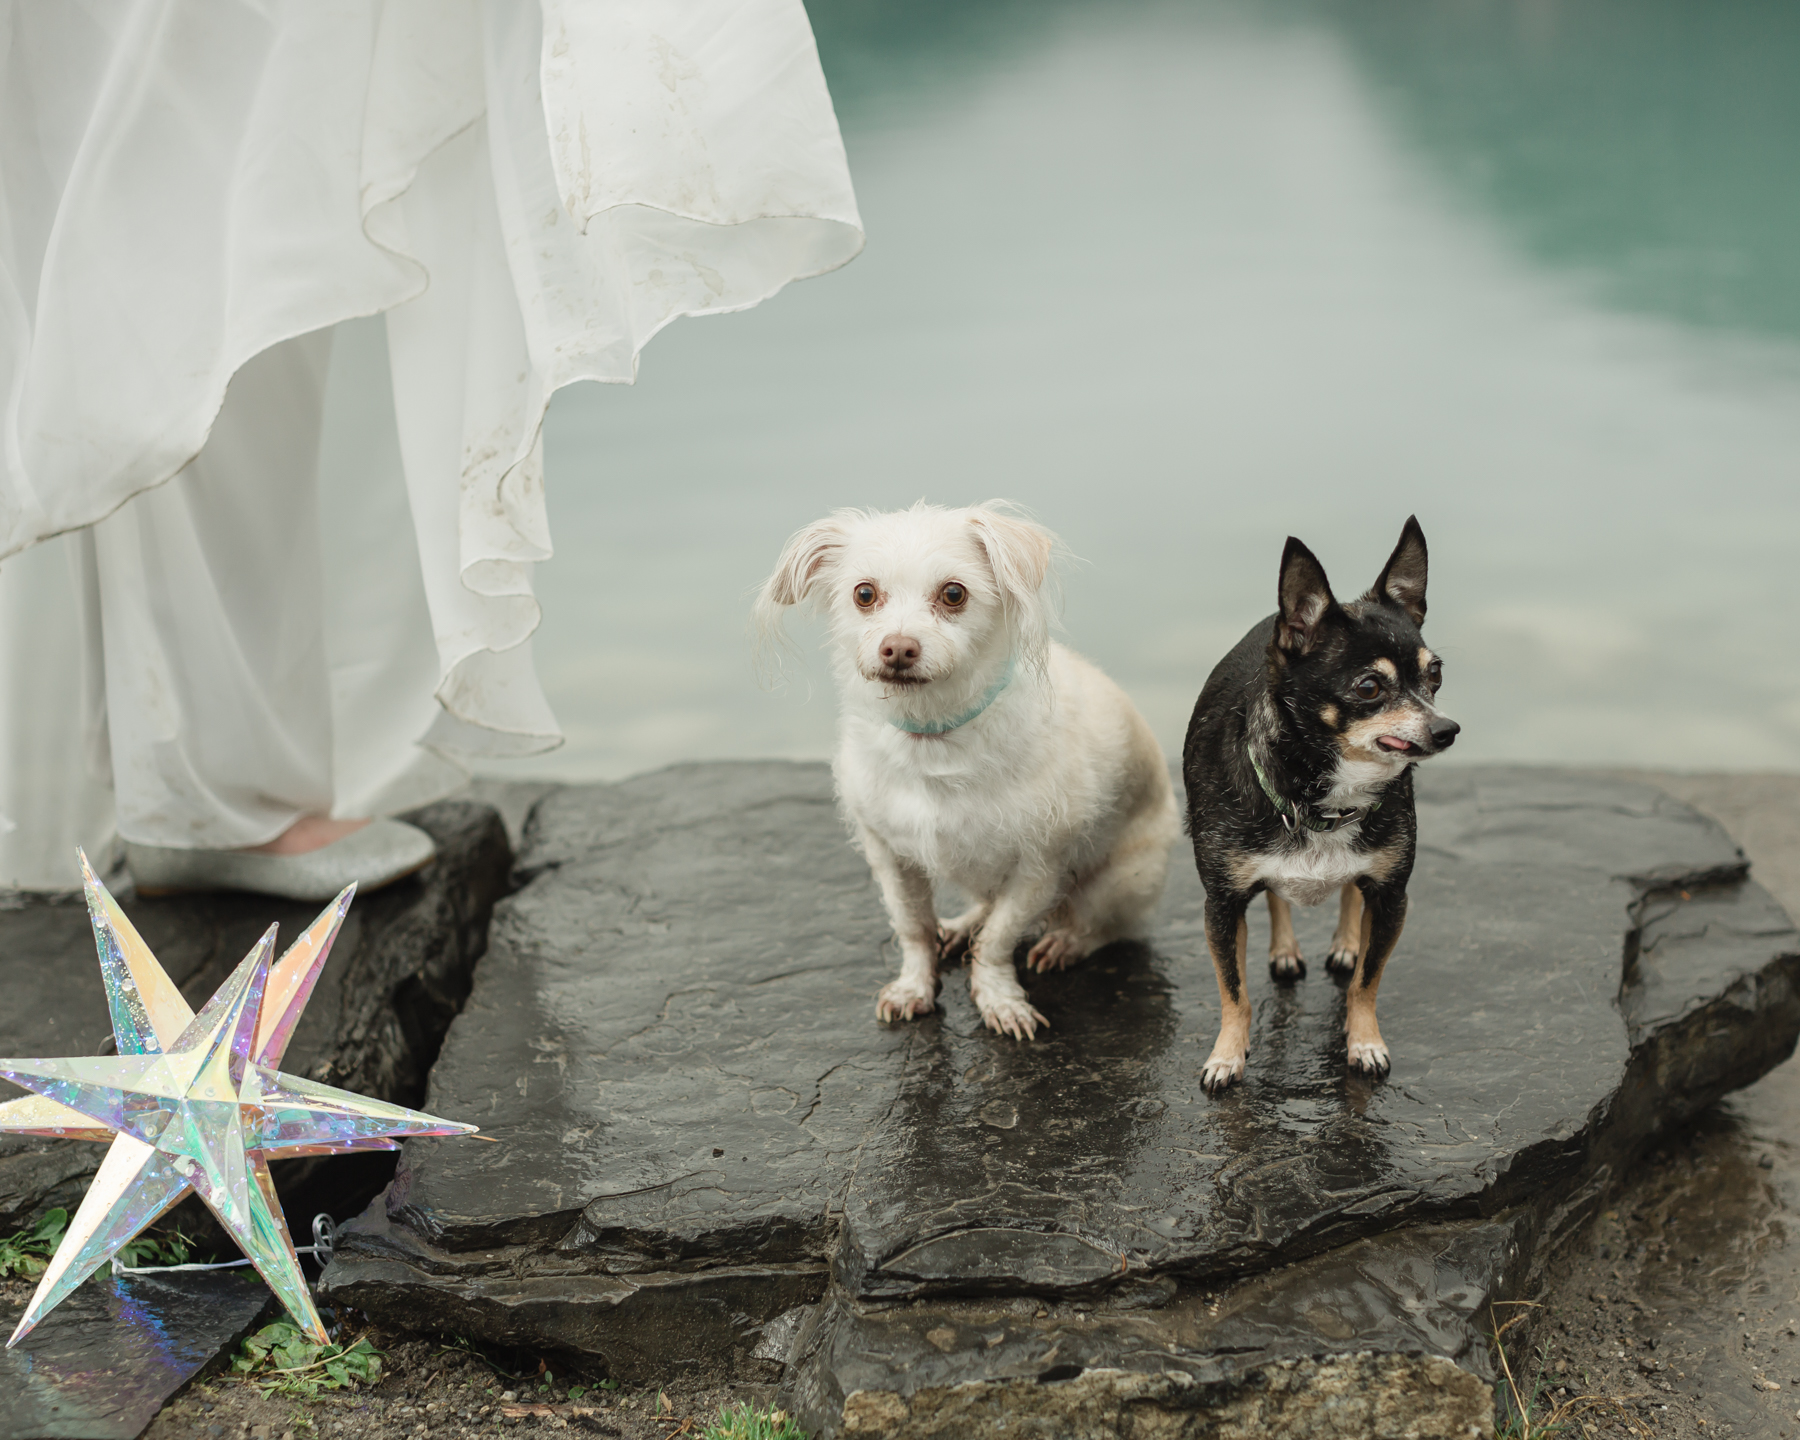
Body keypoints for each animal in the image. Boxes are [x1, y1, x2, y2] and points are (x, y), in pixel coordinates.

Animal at [756, 504, 1180, 1036]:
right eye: (864, 594)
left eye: (953, 594)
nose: (898, 648)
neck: (934, 738)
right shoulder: (889, 856)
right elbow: (913, 927)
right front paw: (915, 987)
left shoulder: (1040, 866)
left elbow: (1000, 938)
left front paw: (999, 998)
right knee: (984, 906)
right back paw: (961, 927)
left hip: (1128, 879)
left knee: (1104, 926)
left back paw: (1065, 941)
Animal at [1180, 518, 1461, 1094]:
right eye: (1370, 687)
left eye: (1435, 676)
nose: (1447, 728)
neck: (1326, 799)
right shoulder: (1221, 905)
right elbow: (1234, 991)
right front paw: (1227, 1056)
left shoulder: (1392, 897)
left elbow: (1366, 982)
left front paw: (1365, 1043)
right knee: (1275, 897)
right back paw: (1285, 951)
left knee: (1351, 894)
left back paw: (1346, 943)